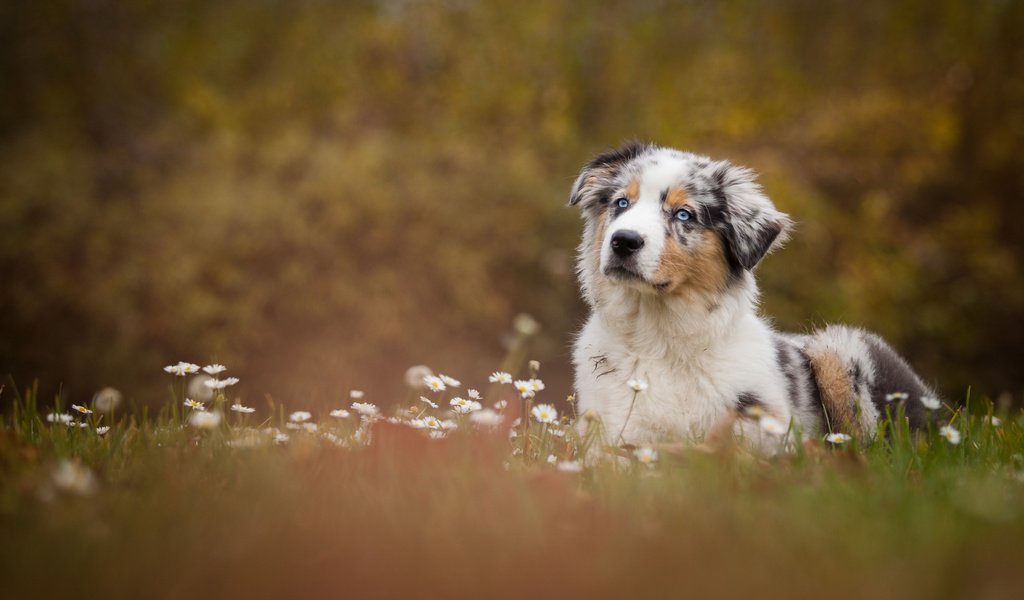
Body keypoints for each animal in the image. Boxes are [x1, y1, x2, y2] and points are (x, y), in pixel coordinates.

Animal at [573, 141, 937, 448]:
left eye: (683, 214)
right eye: (621, 203)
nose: (623, 241)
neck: (656, 334)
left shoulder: (767, 428)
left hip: (839, 348)